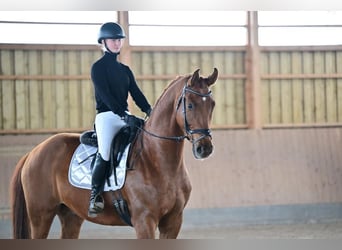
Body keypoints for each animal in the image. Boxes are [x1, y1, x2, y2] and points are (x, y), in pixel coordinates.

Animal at [10, 67, 219, 239]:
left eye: (212, 105)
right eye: (190, 105)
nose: (205, 148)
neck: (157, 161)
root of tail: (33, 152)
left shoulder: (173, 222)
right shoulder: (144, 221)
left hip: (71, 215)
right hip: (40, 216)